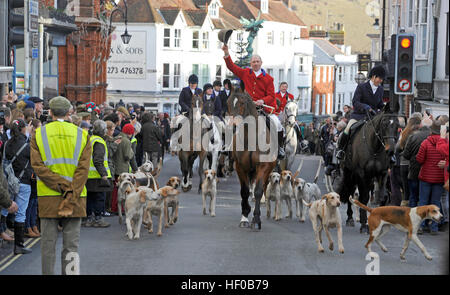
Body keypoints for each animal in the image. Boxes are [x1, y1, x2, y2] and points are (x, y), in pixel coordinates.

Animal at [229, 86, 278, 230]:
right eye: (228, 102)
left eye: (242, 103)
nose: (233, 126)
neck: (250, 137)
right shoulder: (240, 167)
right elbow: (244, 191)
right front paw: (245, 216)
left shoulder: (263, 166)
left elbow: (258, 191)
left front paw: (256, 219)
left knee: (262, 188)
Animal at [334, 103, 400, 235]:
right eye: (384, 123)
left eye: (398, 125)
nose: (390, 150)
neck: (375, 147)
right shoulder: (362, 174)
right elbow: (363, 198)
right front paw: (364, 225)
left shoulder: (382, 174)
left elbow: (381, 197)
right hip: (348, 172)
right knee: (350, 192)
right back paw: (350, 218)